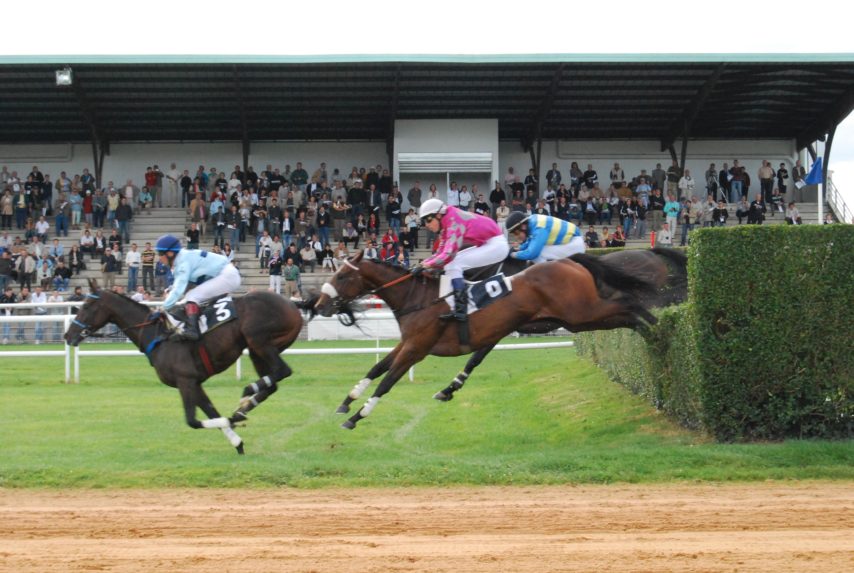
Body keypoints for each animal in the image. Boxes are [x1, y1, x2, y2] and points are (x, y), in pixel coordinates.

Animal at [67, 280, 308, 454]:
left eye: (86, 305)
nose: (69, 334)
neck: (158, 335)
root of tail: (292, 304)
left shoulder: (185, 380)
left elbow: (192, 421)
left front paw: (231, 423)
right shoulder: (194, 383)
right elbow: (211, 413)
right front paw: (237, 442)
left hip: (259, 340)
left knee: (282, 371)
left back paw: (247, 393)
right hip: (256, 350)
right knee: (273, 382)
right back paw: (245, 405)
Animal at [314, 250, 656, 428]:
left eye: (342, 276)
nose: (318, 305)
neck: (417, 297)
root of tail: (569, 261)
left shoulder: (417, 348)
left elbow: (387, 382)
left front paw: (357, 416)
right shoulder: (406, 343)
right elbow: (375, 369)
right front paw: (346, 402)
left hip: (582, 312)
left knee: (628, 304)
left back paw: (656, 328)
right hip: (577, 320)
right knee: (624, 313)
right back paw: (653, 333)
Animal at [434, 248, 688, 400]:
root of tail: (650, 252)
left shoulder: (500, 325)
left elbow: (475, 358)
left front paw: (450, 387)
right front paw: (450, 387)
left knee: (651, 300)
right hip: (584, 318)